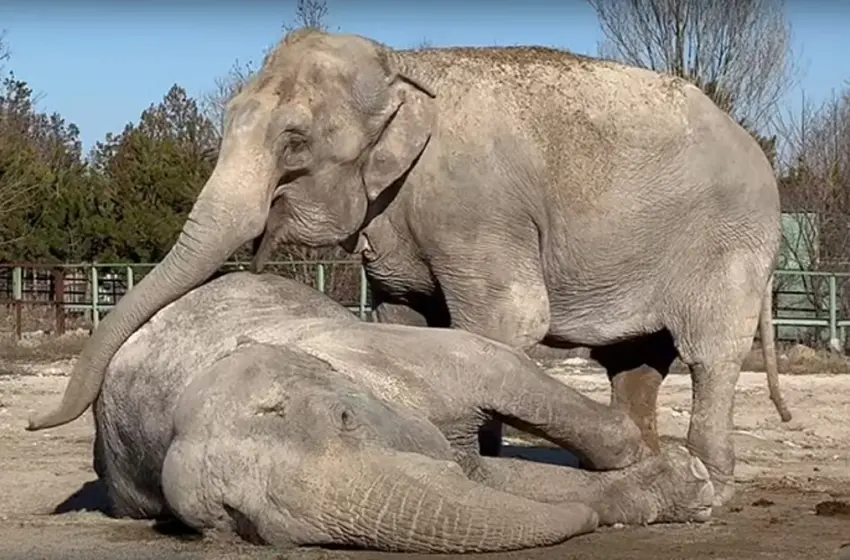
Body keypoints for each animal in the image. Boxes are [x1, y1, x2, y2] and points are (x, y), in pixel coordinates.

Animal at [33, 29, 788, 508]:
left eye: (295, 140)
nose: (39, 424)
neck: (401, 62)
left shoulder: (477, 206)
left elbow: (507, 319)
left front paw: (481, 460)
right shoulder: (395, 223)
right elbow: (406, 314)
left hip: (728, 244)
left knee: (709, 353)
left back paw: (713, 484)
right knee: (634, 363)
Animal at [96, 274, 712, 552]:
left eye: (346, 419)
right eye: (243, 523)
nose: (584, 525)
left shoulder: (389, 353)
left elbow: (500, 369)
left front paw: (685, 475)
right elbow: (482, 480)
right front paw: (682, 489)